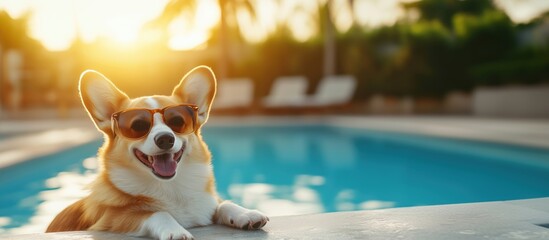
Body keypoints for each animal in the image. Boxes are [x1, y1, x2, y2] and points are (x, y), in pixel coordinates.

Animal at [46, 66, 268, 240]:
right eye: (138, 126)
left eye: (177, 121)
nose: (165, 139)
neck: (171, 188)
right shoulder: (110, 219)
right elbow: (155, 213)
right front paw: (175, 231)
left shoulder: (208, 205)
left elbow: (223, 204)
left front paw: (246, 213)